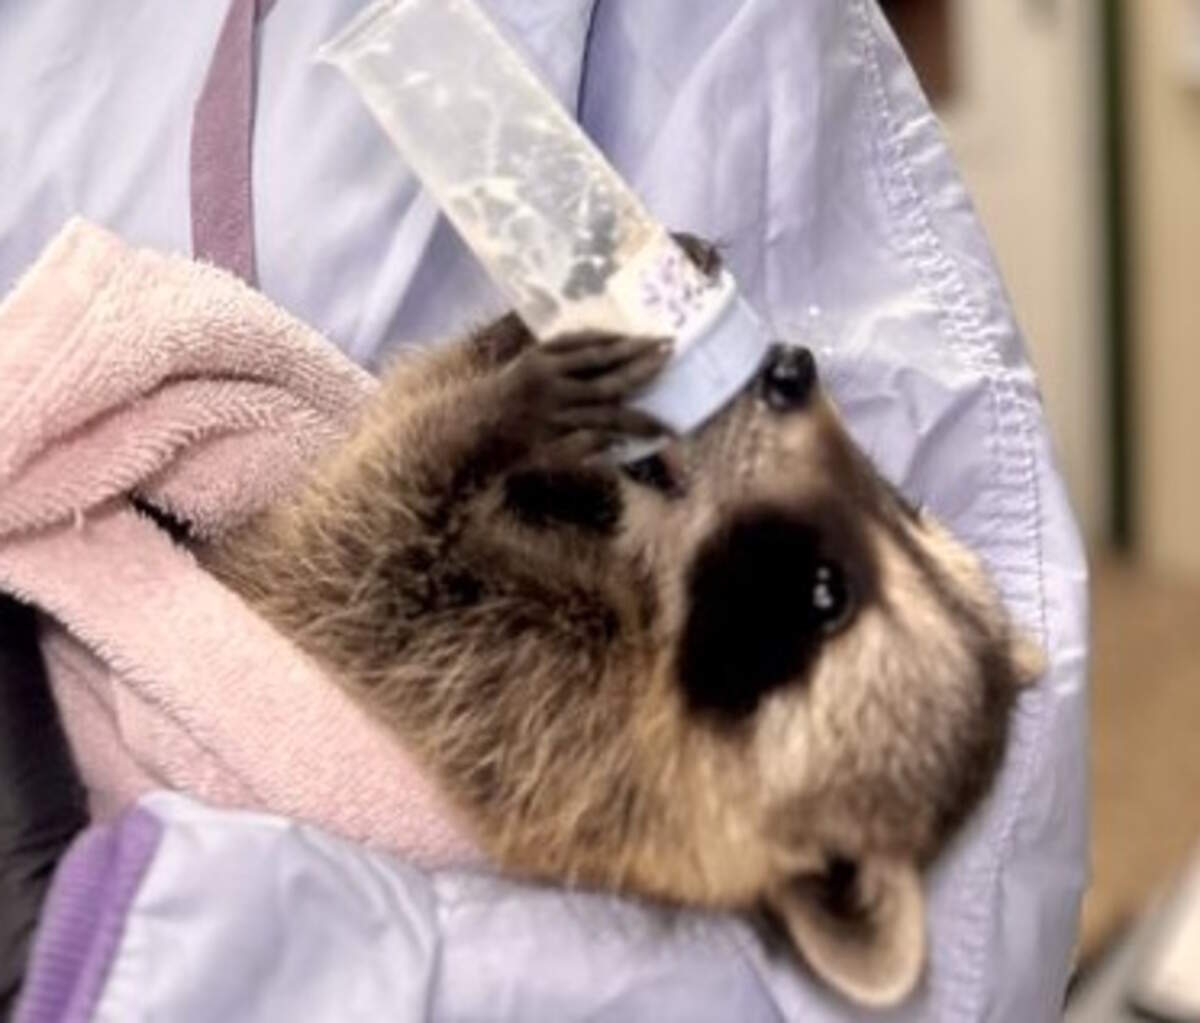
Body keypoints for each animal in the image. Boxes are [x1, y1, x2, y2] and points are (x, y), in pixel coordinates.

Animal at [200, 236, 1043, 1008]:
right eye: (901, 506)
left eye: (823, 595)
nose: (790, 370)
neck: (649, 604)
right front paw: (551, 316)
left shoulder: (529, 711)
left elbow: (374, 512)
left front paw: (497, 413)